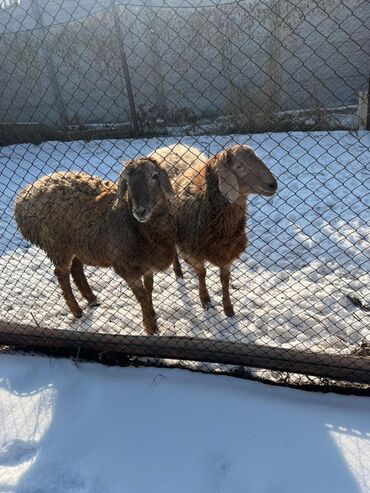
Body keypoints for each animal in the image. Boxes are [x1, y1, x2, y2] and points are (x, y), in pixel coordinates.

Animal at [13, 158, 176, 334]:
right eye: (127, 182)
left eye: (154, 176)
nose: (140, 211)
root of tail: (24, 195)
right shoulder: (126, 267)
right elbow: (142, 296)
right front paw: (150, 326)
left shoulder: (146, 264)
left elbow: (149, 289)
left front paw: (152, 315)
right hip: (57, 244)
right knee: (61, 274)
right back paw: (76, 310)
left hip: (75, 243)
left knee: (76, 269)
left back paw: (92, 299)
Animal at [149, 142, 276, 318]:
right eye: (239, 166)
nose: (273, 185)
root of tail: (168, 147)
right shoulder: (192, 251)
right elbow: (202, 273)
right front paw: (205, 300)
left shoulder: (227, 250)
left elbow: (225, 279)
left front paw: (228, 308)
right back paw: (178, 271)